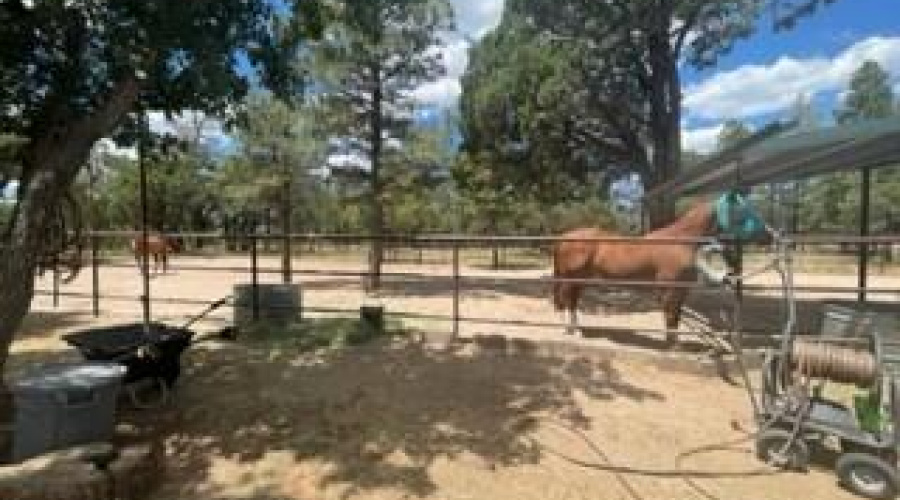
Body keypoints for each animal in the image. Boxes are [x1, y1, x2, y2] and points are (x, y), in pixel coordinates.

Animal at [550, 191, 767, 347]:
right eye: (742, 210)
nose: (767, 234)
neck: (681, 240)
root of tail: (564, 237)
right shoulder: (670, 290)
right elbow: (670, 316)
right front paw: (672, 346)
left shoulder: (681, 291)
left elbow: (676, 317)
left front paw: (676, 343)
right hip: (570, 279)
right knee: (565, 300)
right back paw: (569, 330)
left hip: (580, 280)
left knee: (572, 302)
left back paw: (576, 329)